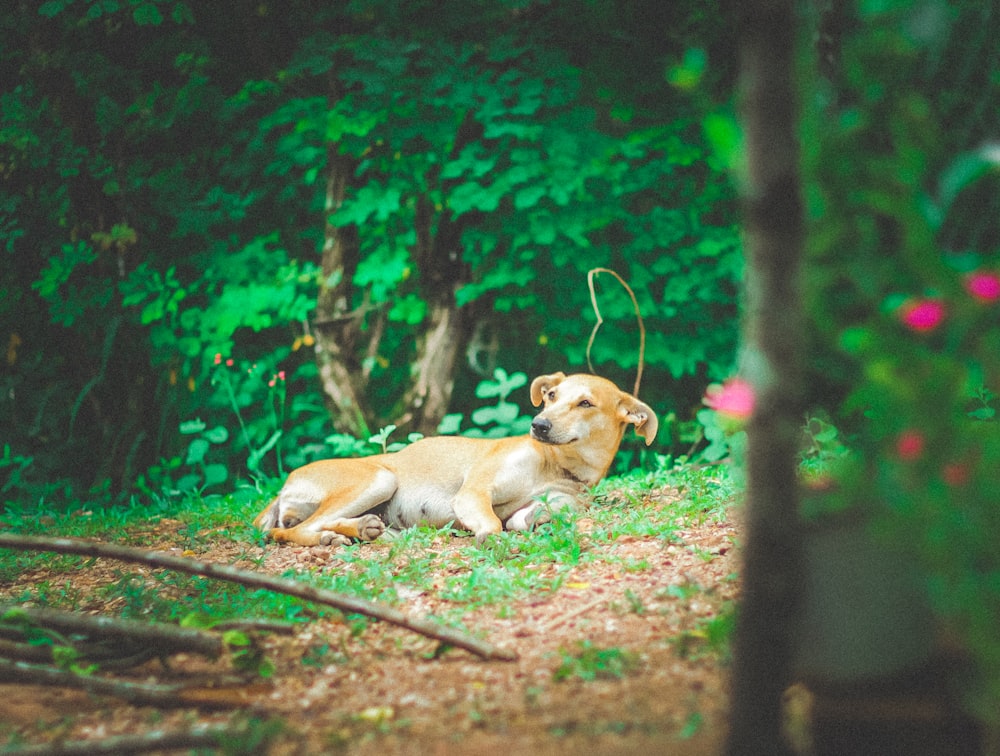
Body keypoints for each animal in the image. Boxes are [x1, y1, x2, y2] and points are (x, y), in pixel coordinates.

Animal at [250, 370, 656, 544]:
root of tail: (284, 486)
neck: (556, 465)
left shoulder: (559, 499)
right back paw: (330, 537)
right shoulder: (474, 492)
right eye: (552, 395)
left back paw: (360, 529)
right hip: (380, 478)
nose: (538, 425)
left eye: (585, 403)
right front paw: (492, 538)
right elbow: (492, 523)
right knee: (291, 531)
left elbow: (546, 511)